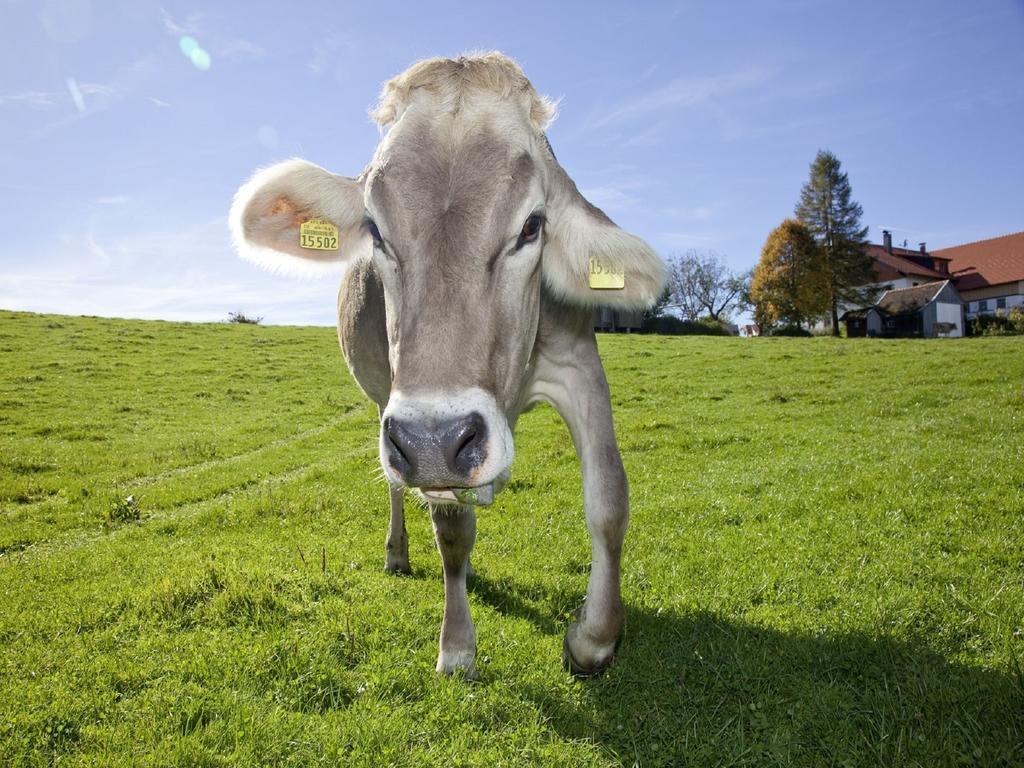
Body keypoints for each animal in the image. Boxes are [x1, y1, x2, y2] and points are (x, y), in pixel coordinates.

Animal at [229, 52, 663, 679]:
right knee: (401, 493)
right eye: (374, 230)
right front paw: (457, 647)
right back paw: (398, 552)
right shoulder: (410, 425)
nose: (435, 441)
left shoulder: (580, 364)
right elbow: (451, 531)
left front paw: (592, 639)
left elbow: (609, 499)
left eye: (532, 225)